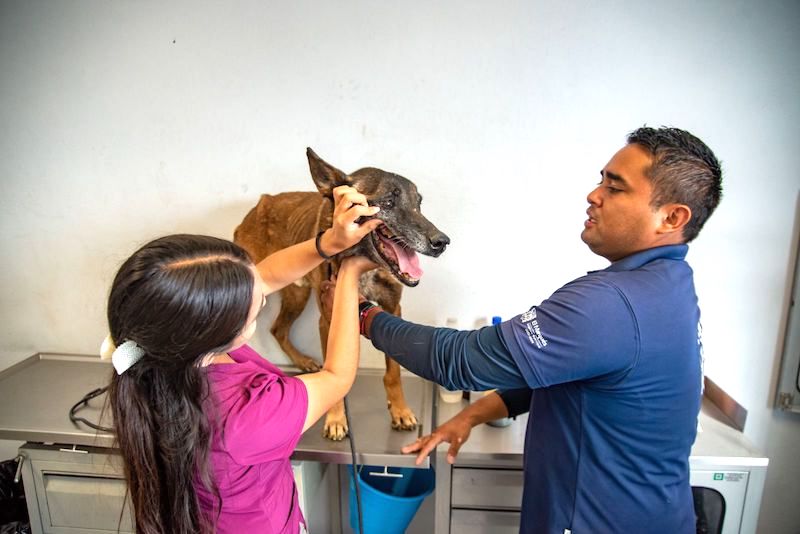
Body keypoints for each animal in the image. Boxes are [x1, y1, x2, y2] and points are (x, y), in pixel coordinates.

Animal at [234, 149, 454, 442]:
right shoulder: (327, 320)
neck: (366, 268)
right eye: (388, 202)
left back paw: (302, 361)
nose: (442, 242)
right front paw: (336, 418)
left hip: (296, 293)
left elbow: (393, 371)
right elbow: (334, 376)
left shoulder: (393, 309)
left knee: (278, 329)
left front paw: (400, 410)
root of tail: (260, 204)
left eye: (419, 204)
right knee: (273, 328)